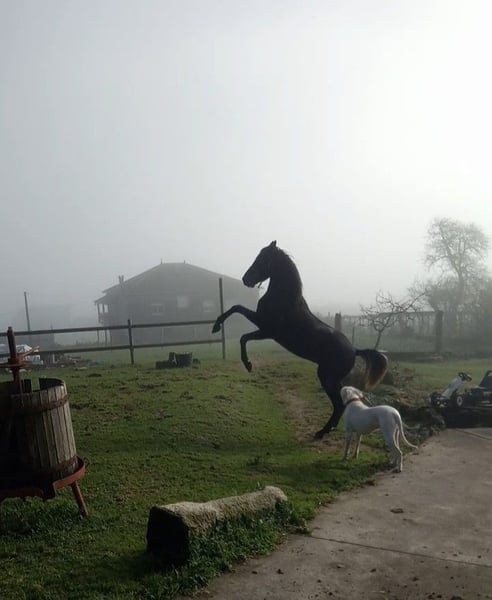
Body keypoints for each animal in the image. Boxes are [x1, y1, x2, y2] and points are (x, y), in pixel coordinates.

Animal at [212, 241, 388, 438]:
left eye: (262, 258)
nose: (245, 279)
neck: (284, 298)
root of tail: (355, 350)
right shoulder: (262, 325)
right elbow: (236, 308)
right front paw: (216, 326)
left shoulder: (267, 330)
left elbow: (242, 333)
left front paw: (247, 364)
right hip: (331, 378)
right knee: (339, 405)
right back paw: (326, 430)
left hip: (327, 377)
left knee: (338, 404)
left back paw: (322, 432)